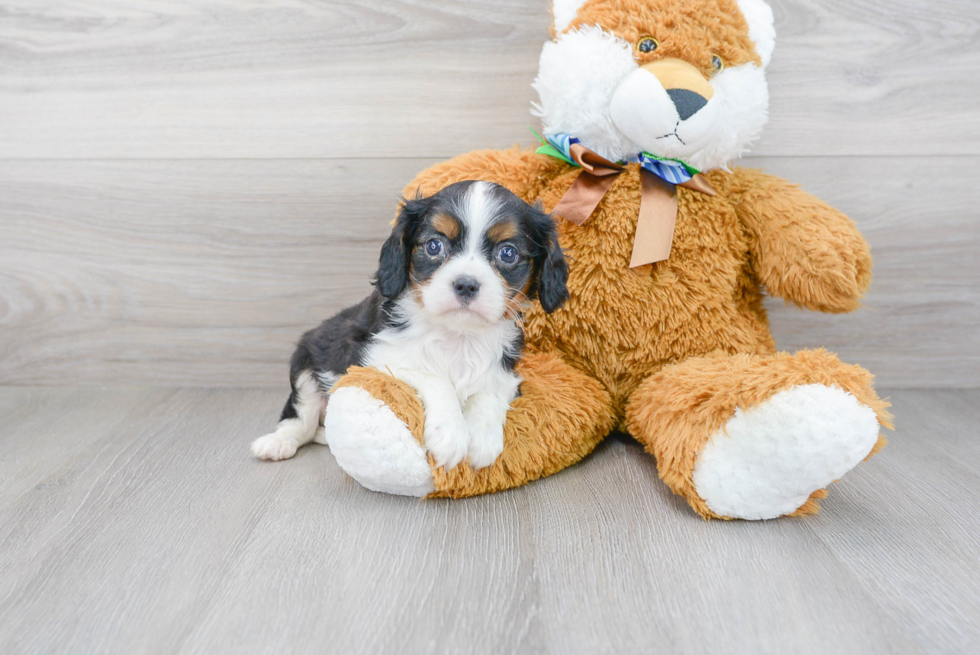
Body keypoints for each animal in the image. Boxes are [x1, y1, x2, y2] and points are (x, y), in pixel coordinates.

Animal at [253, 181, 572, 472]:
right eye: (434, 245)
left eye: (508, 253)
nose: (466, 284)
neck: (458, 335)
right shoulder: (375, 357)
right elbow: (434, 377)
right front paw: (451, 435)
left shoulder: (506, 371)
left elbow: (488, 390)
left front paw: (482, 438)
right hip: (305, 363)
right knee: (300, 420)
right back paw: (277, 442)